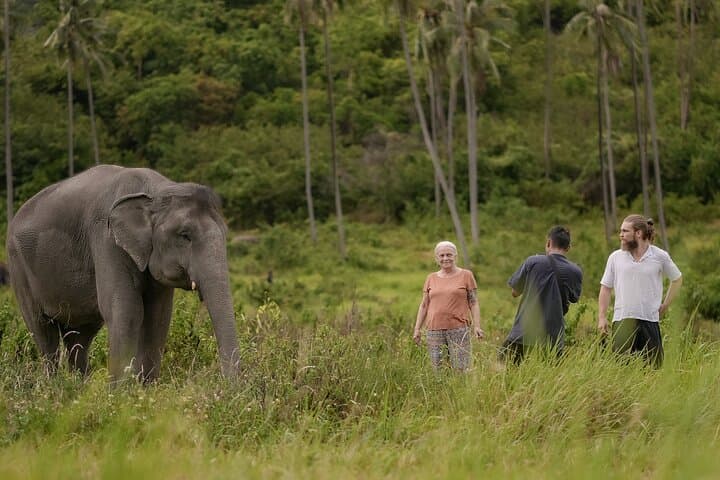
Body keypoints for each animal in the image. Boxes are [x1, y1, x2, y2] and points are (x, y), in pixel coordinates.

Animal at [6, 165, 240, 382]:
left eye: (225, 234)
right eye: (185, 235)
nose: (227, 384)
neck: (156, 190)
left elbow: (158, 317)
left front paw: (144, 391)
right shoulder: (107, 240)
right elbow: (127, 311)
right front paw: (119, 395)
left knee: (79, 338)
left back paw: (78, 390)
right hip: (18, 268)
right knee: (44, 333)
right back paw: (55, 389)